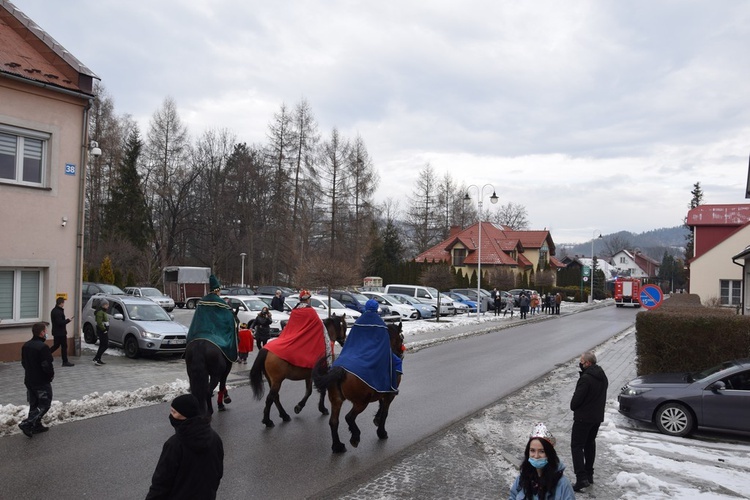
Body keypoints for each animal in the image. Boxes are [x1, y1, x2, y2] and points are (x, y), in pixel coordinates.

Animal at [312, 320, 406, 454]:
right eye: (401, 337)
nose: (401, 354)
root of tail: (341, 369)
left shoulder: (381, 389)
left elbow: (381, 405)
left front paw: (377, 419)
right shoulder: (390, 394)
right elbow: (385, 412)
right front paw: (381, 432)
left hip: (337, 400)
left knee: (333, 422)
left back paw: (337, 446)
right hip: (361, 402)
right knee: (349, 417)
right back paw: (355, 437)